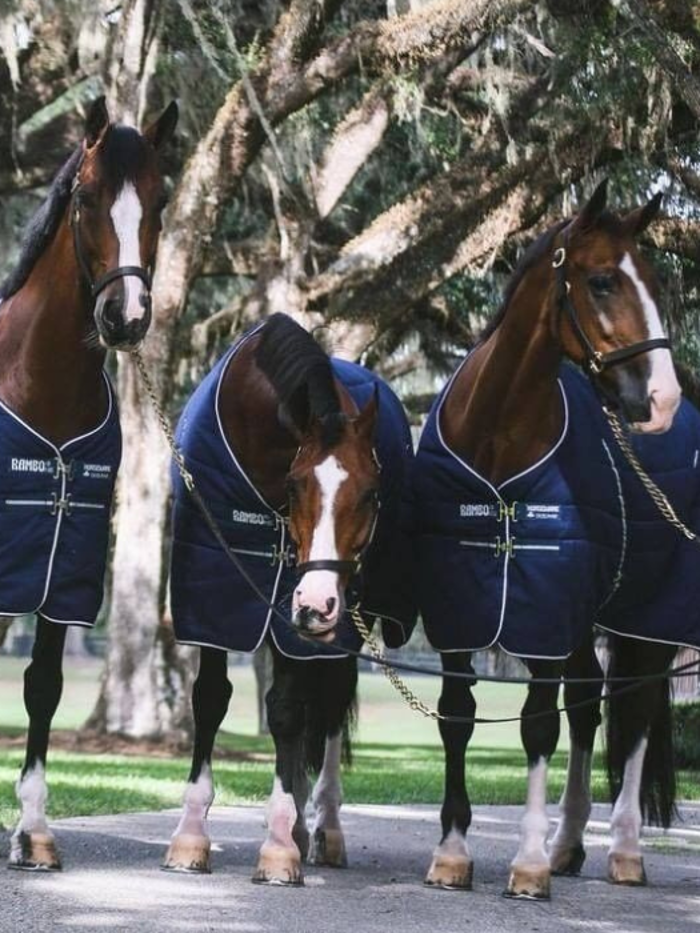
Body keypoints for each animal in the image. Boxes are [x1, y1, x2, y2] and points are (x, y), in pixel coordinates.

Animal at [163, 313, 415, 884]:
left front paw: (279, 845)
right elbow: (210, 700)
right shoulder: (215, 599)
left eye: (371, 493)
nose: (316, 602)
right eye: (297, 485)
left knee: (326, 710)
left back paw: (321, 829)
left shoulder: (300, 626)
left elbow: (285, 712)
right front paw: (190, 836)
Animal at [413, 180, 700, 899]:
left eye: (656, 280)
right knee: (590, 704)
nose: (661, 398)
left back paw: (623, 849)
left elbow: (537, 724)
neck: (494, 445)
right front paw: (453, 852)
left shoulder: (543, 615)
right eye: (601, 281)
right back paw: (571, 841)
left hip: (644, 619)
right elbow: (458, 714)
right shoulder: (460, 610)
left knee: (633, 716)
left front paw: (528, 863)